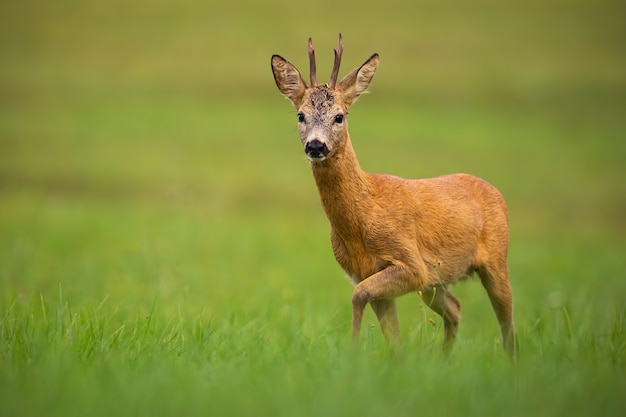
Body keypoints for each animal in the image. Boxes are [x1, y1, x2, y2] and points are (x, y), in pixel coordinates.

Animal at [270, 34, 516, 356]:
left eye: (339, 116)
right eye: (301, 115)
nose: (315, 146)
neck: (363, 218)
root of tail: (494, 190)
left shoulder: (411, 263)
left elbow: (358, 295)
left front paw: (351, 350)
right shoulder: (369, 273)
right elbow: (391, 334)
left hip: (496, 260)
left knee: (507, 321)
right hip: (436, 283)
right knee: (456, 308)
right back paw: (444, 359)